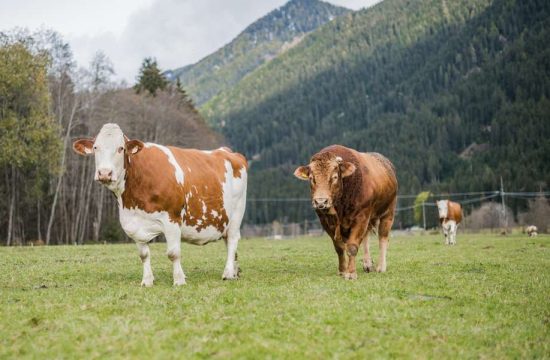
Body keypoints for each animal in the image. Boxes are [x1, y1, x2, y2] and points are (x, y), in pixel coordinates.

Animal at [73, 124, 248, 286]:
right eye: (96, 147)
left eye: (120, 148)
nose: (104, 173)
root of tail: (226, 151)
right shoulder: (134, 223)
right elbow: (144, 255)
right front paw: (147, 281)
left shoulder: (172, 218)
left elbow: (173, 253)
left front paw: (179, 280)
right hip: (223, 218)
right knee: (228, 242)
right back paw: (234, 271)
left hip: (237, 212)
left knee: (232, 240)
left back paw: (227, 273)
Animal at [296, 145, 398, 280]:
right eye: (312, 178)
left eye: (334, 177)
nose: (321, 201)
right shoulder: (325, 221)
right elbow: (339, 247)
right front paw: (342, 270)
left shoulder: (361, 216)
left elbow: (352, 246)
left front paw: (351, 273)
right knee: (366, 237)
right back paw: (367, 264)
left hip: (388, 212)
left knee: (383, 237)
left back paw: (381, 267)